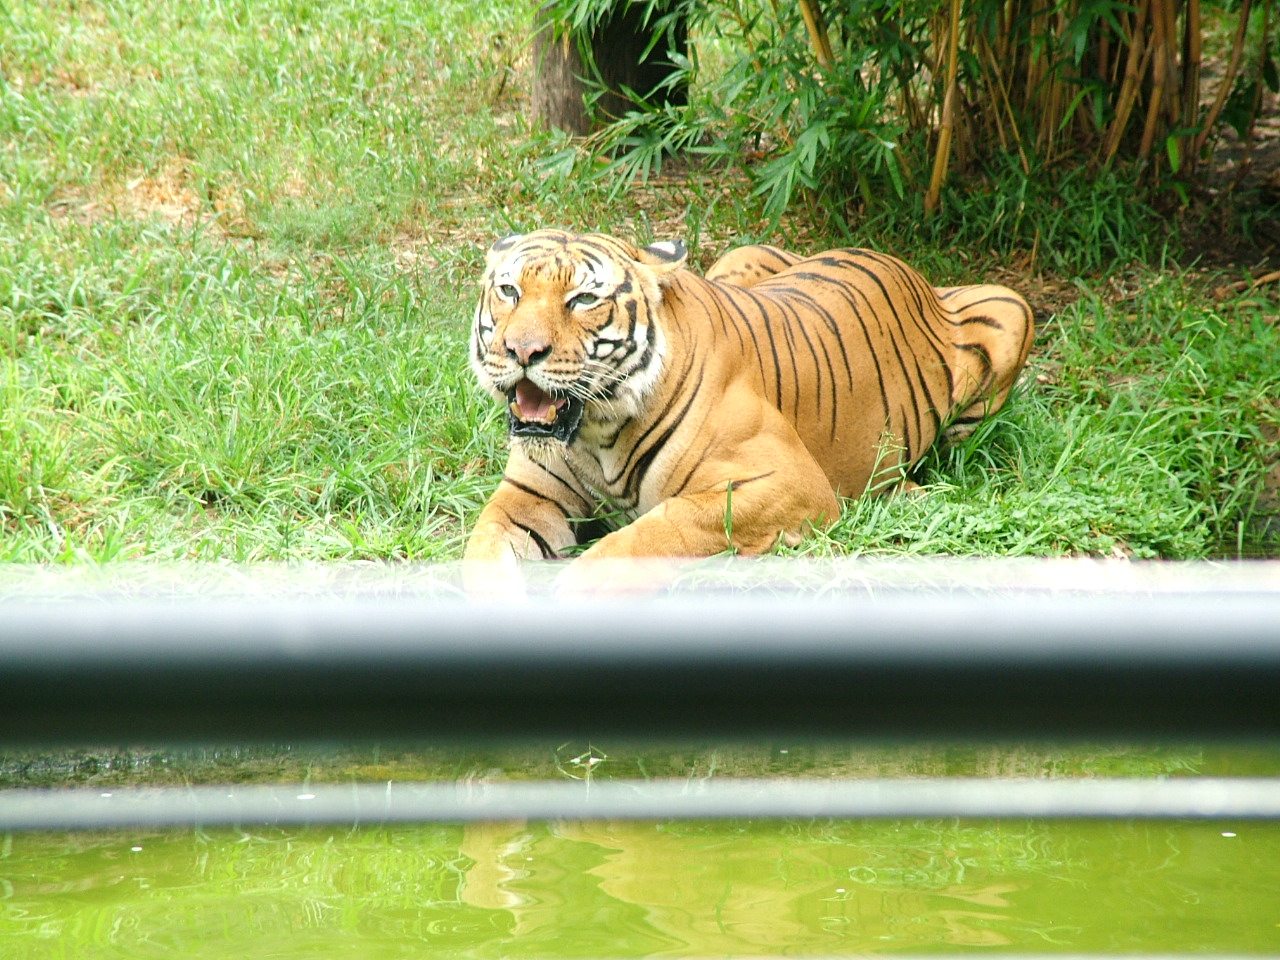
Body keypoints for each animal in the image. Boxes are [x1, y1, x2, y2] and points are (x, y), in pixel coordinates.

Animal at [465, 228, 1033, 591]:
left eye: (583, 300)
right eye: (509, 291)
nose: (521, 351)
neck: (596, 433)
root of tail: (901, 262)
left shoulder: (787, 483)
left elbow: (651, 533)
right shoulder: (528, 495)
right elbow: (483, 551)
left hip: (1011, 307)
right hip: (741, 255)